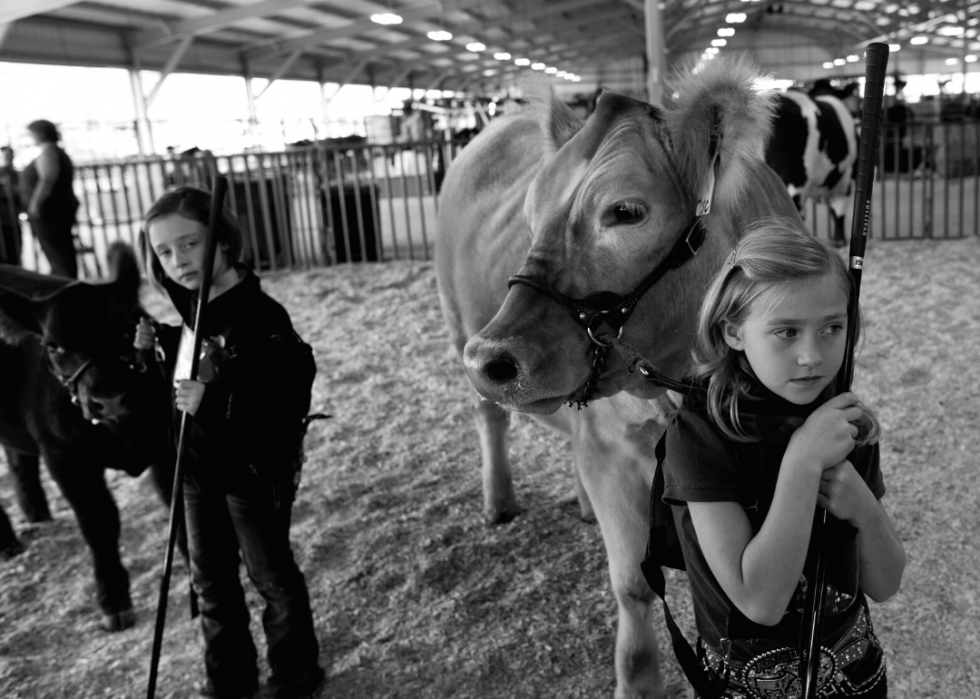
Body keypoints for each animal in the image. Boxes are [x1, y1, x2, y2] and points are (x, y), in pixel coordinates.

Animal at [1, 245, 177, 628]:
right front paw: (114, 600)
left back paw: (35, 513)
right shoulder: (65, 458)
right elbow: (99, 523)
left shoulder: (166, 443)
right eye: (53, 346)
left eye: (126, 330)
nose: (108, 399)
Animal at [436, 57, 804, 696]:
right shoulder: (612, 452)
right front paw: (638, 679)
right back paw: (498, 500)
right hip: (457, 320)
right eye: (529, 216)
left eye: (625, 213)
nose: (492, 359)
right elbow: (633, 584)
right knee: (488, 418)